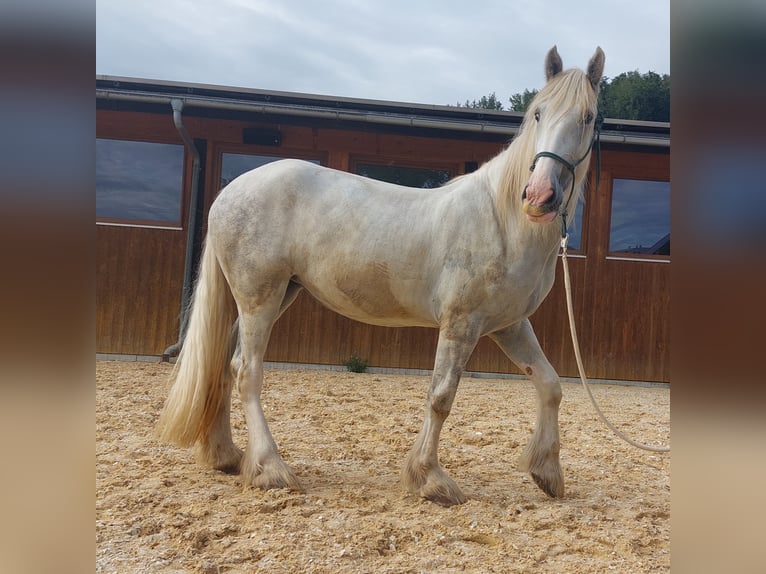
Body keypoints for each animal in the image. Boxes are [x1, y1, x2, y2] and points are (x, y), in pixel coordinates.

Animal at [156, 46, 608, 508]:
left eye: (588, 117)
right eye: (538, 113)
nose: (539, 196)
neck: (503, 220)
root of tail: (230, 191)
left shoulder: (509, 325)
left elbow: (550, 384)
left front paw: (547, 472)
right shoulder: (461, 324)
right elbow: (441, 396)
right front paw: (430, 479)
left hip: (275, 296)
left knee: (224, 364)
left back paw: (226, 455)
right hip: (259, 298)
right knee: (247, 371)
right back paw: (270, 468)